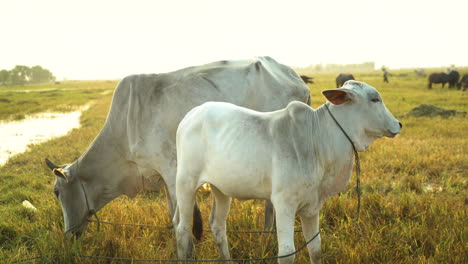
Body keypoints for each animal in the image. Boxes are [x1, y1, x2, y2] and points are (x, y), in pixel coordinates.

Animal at [44, 56, 310, 238]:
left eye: (57, 192)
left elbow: (182, 219)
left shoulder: (172, 170)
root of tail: (294, 76)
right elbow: (173, 216)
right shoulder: (161, 177)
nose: (69, 236)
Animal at [174, 81, 400, 264]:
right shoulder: (284, 203)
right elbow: (287, 252)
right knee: (183, 230)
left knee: (218, 226)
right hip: (185, 183)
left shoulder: (311, 206)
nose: (398, 124)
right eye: (374, 99)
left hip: (221, 189)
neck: (318, 139)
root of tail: (191, 114)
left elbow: (315, 248)